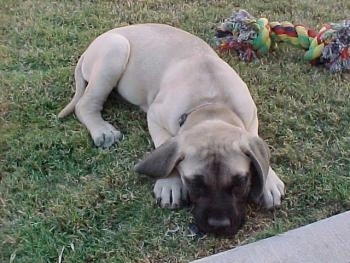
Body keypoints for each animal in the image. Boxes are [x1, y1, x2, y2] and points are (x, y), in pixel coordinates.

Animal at [59, 23, 284, 236]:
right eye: (194, 183)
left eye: (240, 182)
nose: (218, 226)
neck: (211, 104)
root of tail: (91, 46)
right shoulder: (155, 116)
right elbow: (165, 147)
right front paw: (170, 183)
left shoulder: (251, 118)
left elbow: (258, 147)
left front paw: (268, 181)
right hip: (115, 51)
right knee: (84, 104)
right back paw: (102, 131)